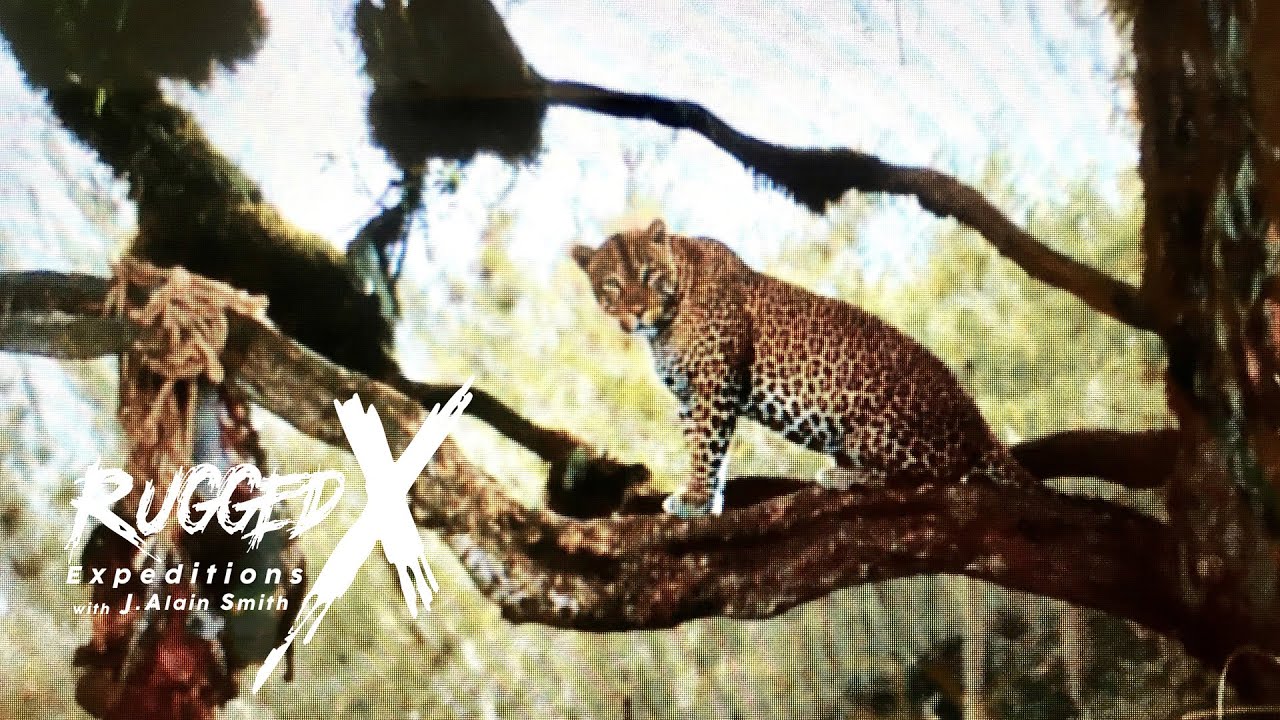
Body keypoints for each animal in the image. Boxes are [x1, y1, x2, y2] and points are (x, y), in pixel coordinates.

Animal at [572, 218, 1035, 518]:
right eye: (612, 285)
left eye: (649, 275)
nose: (636, 312)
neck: (665, 325)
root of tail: (976, 417)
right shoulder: (690, 394)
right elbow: (703, 446)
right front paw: (706, 497)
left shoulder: (716, 382)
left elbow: (706, 446)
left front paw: (696, 500)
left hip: (877, 429)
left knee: (940, 473)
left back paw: (845, 477)